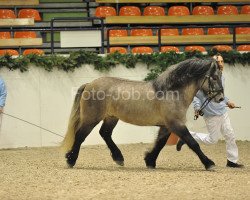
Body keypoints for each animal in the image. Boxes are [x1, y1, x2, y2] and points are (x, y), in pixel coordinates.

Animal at [61, 57, 224, 170]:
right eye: (215, 77)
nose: (220, 98)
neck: (172, 91)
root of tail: (89, 84)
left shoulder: (166, 125)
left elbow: (160, 143)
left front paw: (150, 160)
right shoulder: (175, 124)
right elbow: (192, 142)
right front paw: (209, 163)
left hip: (111, 117)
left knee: (105, 133)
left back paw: (118, 158)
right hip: (91, 118)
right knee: (80, 136)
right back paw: (71, 159)